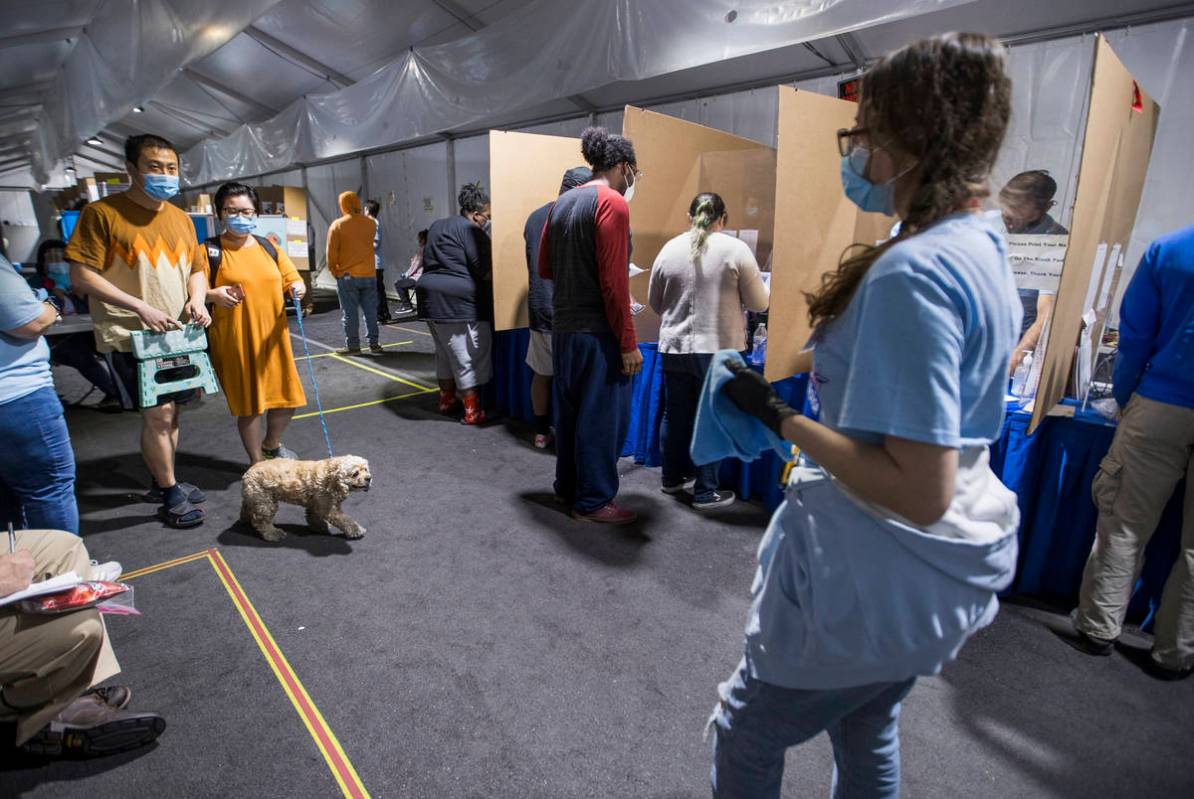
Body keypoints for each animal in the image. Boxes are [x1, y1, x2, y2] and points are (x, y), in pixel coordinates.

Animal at [239, 453, 370, 542]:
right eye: (355, 473)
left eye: (365, 469)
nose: (369, 478)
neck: (331, 476)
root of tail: (247, 473)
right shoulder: (328, 507)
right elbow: (345, 520)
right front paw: (357, 530)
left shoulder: (316, 504)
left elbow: (313, 517)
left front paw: (320, 527)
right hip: (266, 503)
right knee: (262, 522)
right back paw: (273, 534)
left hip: (256, 497)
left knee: (248, 508)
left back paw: (245, 519)